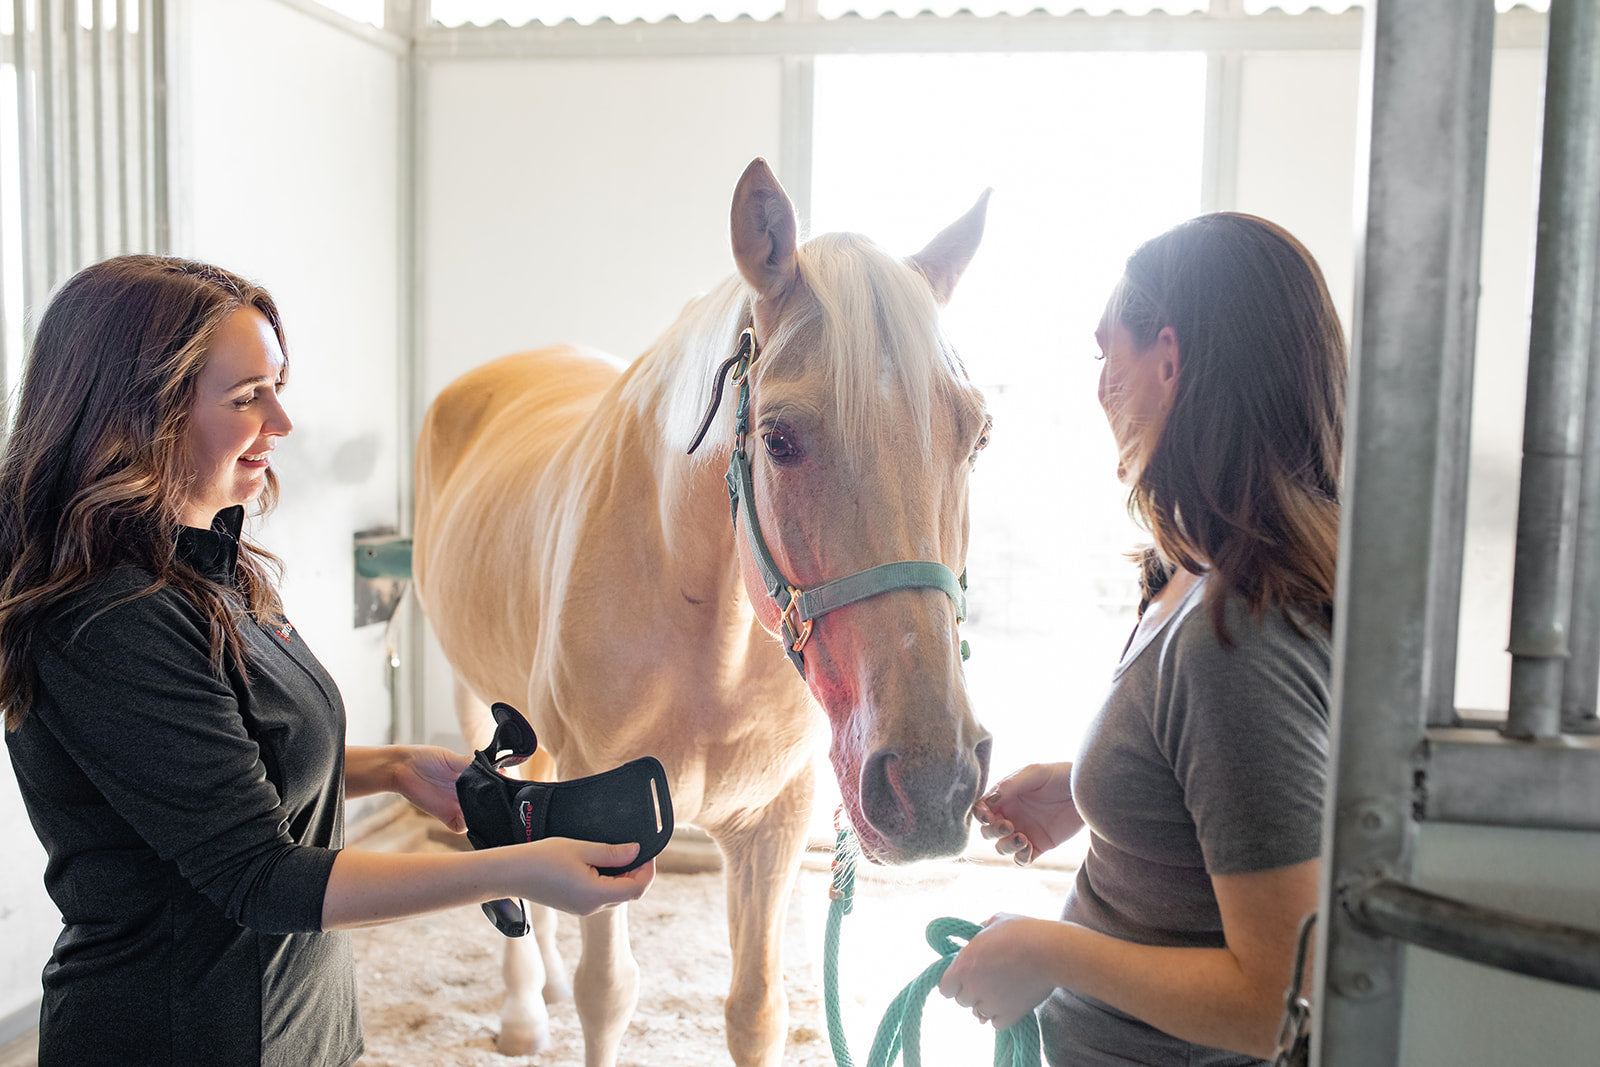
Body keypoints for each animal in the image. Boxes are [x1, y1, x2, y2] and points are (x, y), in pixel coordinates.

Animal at [412, 160, 985, 1067]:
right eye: (778, 438)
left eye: (977, 434)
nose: (932, 786)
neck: (711, 647)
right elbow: (607, 994)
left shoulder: (772, 825)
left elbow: (755, 1010)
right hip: (475, 690)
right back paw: (524, 1009)